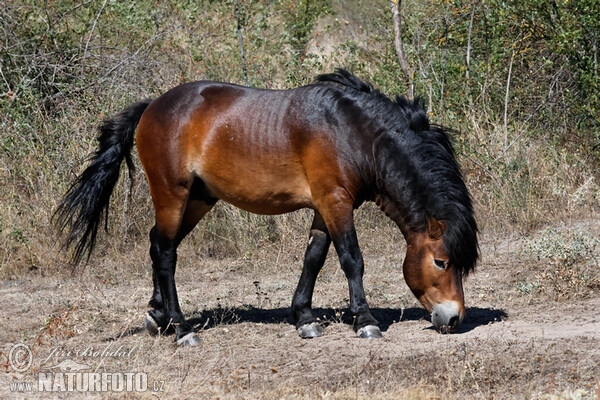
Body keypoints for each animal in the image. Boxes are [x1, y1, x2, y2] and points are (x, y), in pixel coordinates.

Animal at [56, 67, 478, 346]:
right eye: (441, 262)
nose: (454, 318)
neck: (354, 132)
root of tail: (151, 106)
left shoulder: (325, 205)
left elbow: (314, 258)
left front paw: (305, 318)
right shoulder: (336, 201)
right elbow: (351, 259)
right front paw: (365, 320)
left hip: (198, 199)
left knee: (159, 244)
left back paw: (157, 316)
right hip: (173, 194)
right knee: (164, 252)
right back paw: (181, 329)